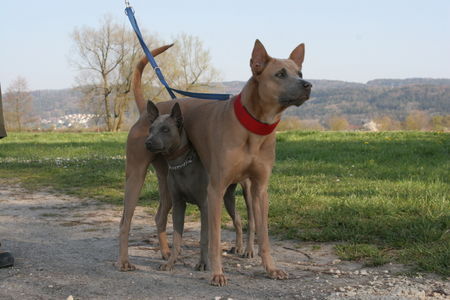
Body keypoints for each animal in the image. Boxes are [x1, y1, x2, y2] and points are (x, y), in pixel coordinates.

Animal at [118, 39, 312, 286]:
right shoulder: (215, 190)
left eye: (300, 73)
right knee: (125, 221)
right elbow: (214, 237)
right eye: (280, 74)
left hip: (168, 185)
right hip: (135, 176)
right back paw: (124, 261)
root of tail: (146, 110)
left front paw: (271, 269)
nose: (308, 85)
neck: (252, 128)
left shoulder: (260, 190)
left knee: (160, 216)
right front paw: (217, 272)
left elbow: (264, 235)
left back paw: (167, 253)